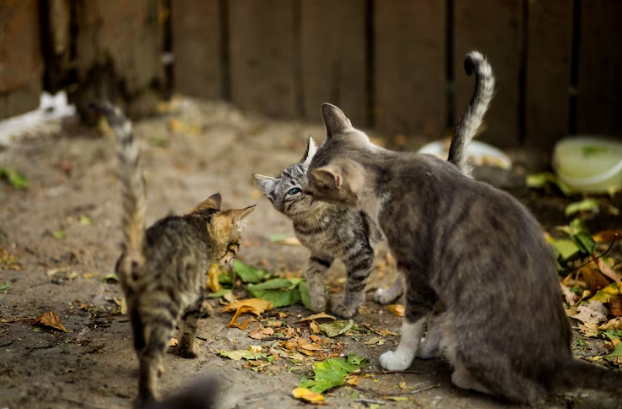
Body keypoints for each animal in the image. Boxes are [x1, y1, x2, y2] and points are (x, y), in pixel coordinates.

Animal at [92, 103, 254, 404]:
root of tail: (139, 249)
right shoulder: (193, 292)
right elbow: (190, 327)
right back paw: (149, 394)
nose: (234, 259)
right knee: (150, 352)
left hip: (135, 306)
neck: (198, 225)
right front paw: (188, 351)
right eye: (236, 244)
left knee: (140, 345)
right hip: (164, 306)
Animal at [304, 51, 622, 404]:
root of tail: (559, 363)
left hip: (470, 326)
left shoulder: (423, 270)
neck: (388, 170)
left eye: (313, 185)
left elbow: (412, 322)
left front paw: (401, 358)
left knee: (528, 392)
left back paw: (458, 369)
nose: (302, 191)